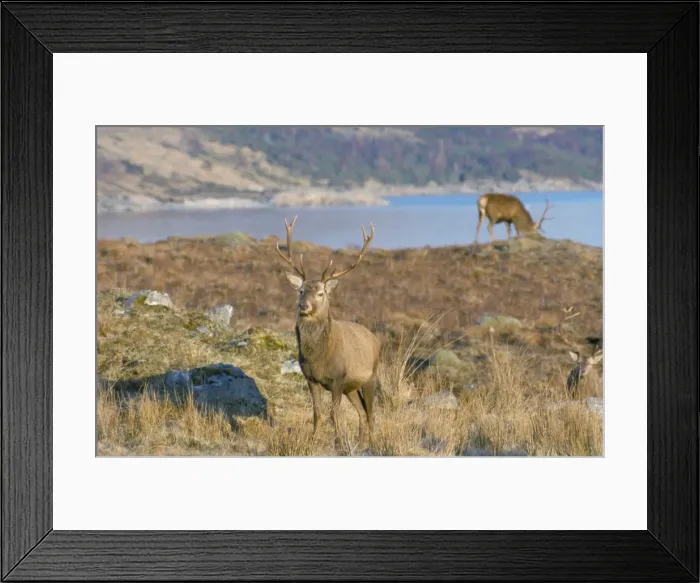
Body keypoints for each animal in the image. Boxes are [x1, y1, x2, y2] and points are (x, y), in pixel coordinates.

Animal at [276, 216, 381, 448]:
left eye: (321, 293)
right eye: (301, 290)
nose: (303, 305)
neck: (318, 358)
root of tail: (375, 339)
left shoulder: (338, 377)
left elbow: (335, 414)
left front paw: (339, 443)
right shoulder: (310, 378)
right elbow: (318, 414)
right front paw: (312, 441)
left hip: (371, 377)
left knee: (371, 414)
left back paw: (373, 444)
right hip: (352, 387)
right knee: (361, 412)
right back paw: (361, 443)